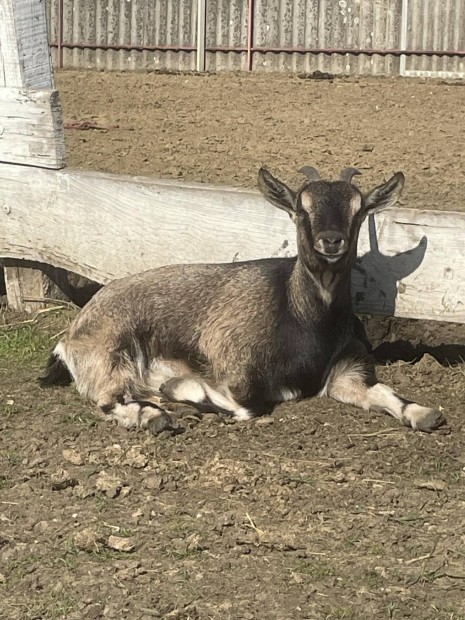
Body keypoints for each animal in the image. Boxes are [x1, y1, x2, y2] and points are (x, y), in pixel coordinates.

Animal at [39, 166, 445, 434]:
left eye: (358, 210)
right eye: (301, 208)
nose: (331, 241)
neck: (305, 322)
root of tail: (70, 338)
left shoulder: (347, 373)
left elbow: (385, 393)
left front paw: (424, 413)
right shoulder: (234, 369)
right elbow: (247, 407)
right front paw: (177, 392)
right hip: (111, 355)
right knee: (107, 400)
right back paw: (156, 416)